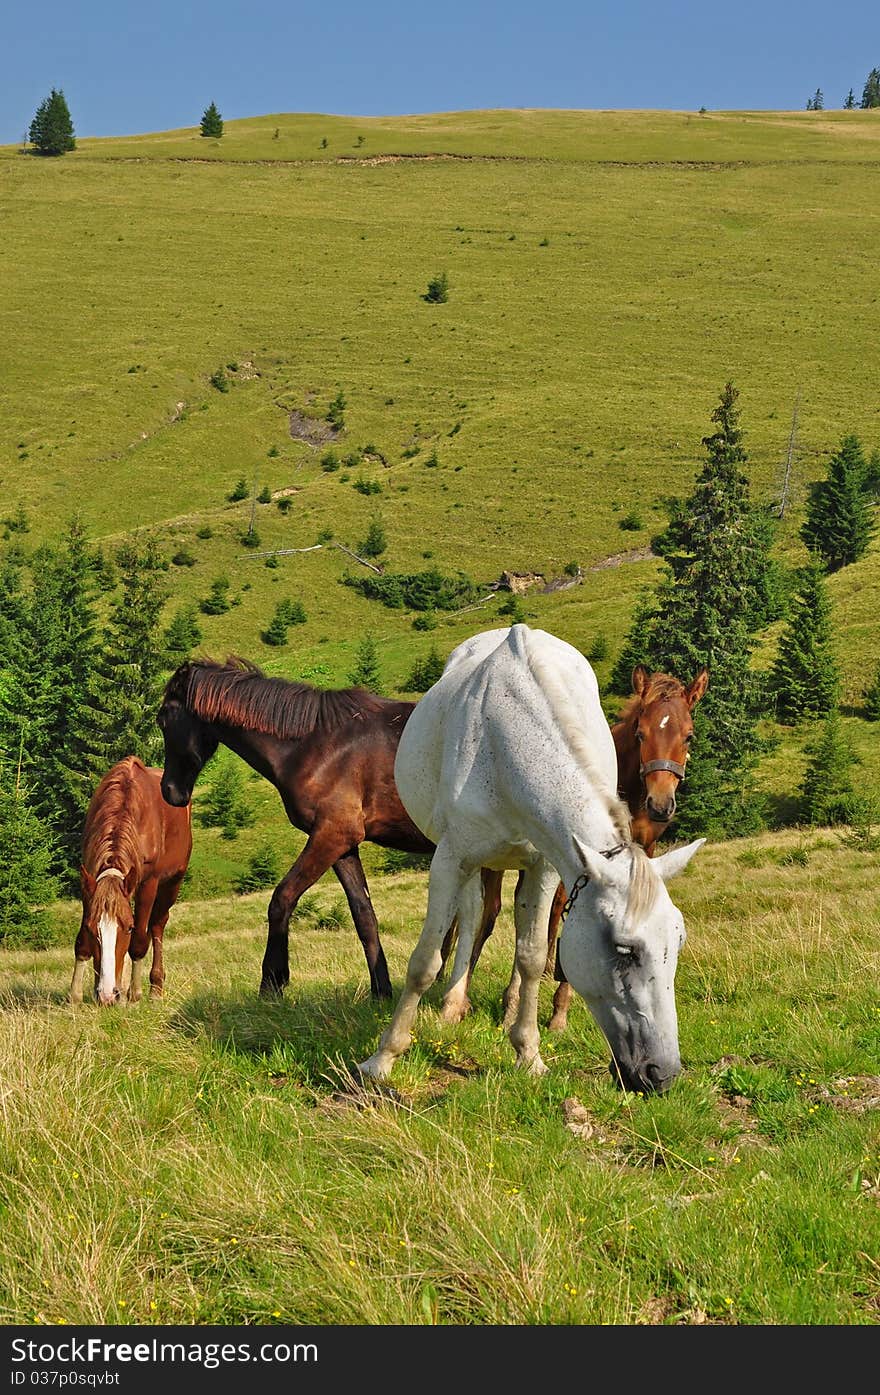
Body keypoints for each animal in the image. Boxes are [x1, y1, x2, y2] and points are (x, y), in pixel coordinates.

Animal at [71, 758, 192, 1009]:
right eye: (92, 928)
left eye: (127, 928)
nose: (108, 995)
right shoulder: (90, 881)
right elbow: (82, 942)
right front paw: (75, 995)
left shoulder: (148, 883)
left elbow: (138, 940)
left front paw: (134, 995)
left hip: (173, 883)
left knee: (157, 925)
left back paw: (155, 987)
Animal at [160, 655, 435, 998]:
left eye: (163, 719)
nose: (169, 791)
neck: (318, 746)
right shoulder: (343, 844)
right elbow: (364, 915)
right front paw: (380, 990)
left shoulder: (331, 835)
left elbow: (282, 899)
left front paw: (272, 982)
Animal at [460, 658, 708, 1032]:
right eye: (640, 733)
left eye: (689, 735)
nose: (660, 804)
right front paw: (555, 1010)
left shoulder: (642, 853)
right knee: (489, 915)